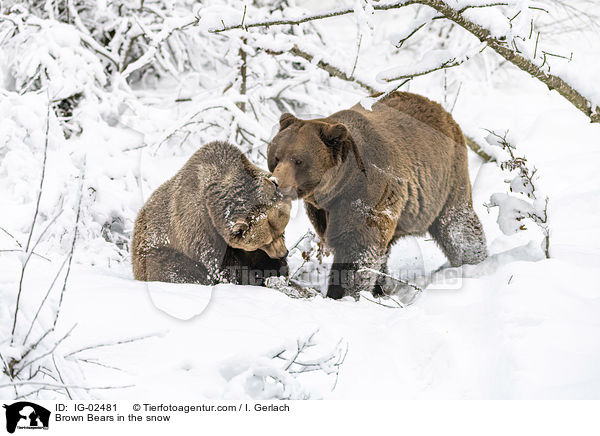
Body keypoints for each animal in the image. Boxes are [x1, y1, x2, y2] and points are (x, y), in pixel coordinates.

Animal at [131, 141, 290, 286]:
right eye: (265, 241)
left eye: (281, 230)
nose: (284, 253)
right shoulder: (200, 226)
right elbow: (221, 264)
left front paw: (276, 270)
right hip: (157, 252)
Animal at [268, 90, 488, 298]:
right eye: (276, 156)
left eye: (298, 160)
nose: (276, 182)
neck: (336, 187)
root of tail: (441, 110)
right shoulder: (321, 211)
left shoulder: (366, 193)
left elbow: (358, 246)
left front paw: (344, 293)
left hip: (446, 181)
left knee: (456, 225)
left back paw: (474, 261)